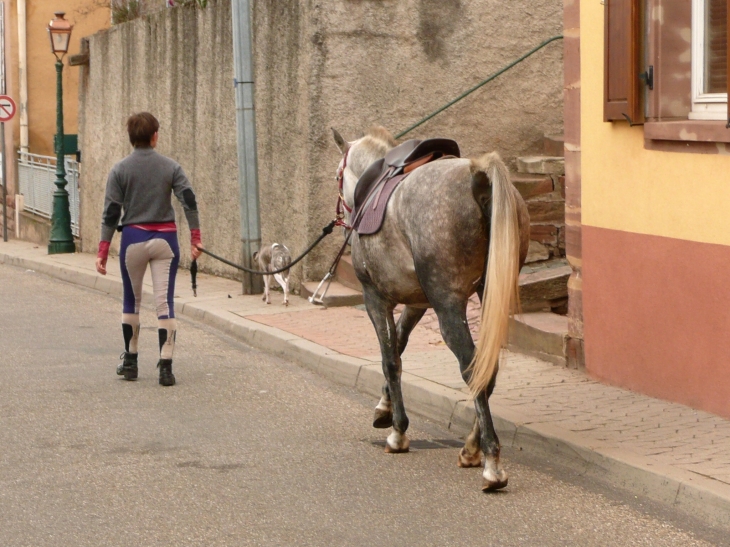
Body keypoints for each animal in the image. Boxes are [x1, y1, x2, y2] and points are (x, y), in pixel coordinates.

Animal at [332, 128, 528, 492]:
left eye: (338, 175)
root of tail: (479, 177)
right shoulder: (416, 303)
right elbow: (399, 344)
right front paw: (384, 407)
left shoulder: (374, 298)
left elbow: (390, 359)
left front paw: (398, 430)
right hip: (486, 298)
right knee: (487, 367)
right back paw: (472, 447)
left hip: (448, 305)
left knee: (471, 366)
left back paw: (491, 462)